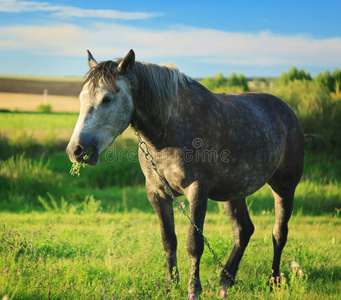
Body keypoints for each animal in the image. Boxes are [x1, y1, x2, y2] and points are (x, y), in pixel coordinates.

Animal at [65, 49, 302, 298]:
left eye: (107, 99)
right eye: (81, 98)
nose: (76, 150)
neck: (168, 132)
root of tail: (289, 113)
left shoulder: (197, 190)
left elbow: (194, 243)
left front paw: (193, 288)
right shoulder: (157, 193)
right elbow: (169, 240)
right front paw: (170, 285)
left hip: (284, 187)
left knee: (279, 234)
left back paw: (274, 281)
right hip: (234, 193)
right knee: (243, 230)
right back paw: (226, 280)